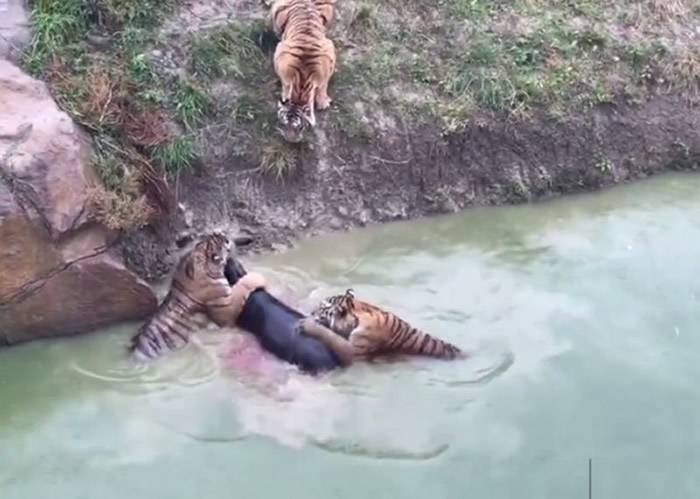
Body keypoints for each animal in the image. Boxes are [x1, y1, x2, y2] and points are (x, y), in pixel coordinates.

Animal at [270, 0, 336, 143]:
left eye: (299, 127)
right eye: (284, 124)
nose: (290, 141)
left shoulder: (330, 53)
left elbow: (324, 84)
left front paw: (322, 102)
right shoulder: (279, 54)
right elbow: (285, 84)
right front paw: (285, 94)